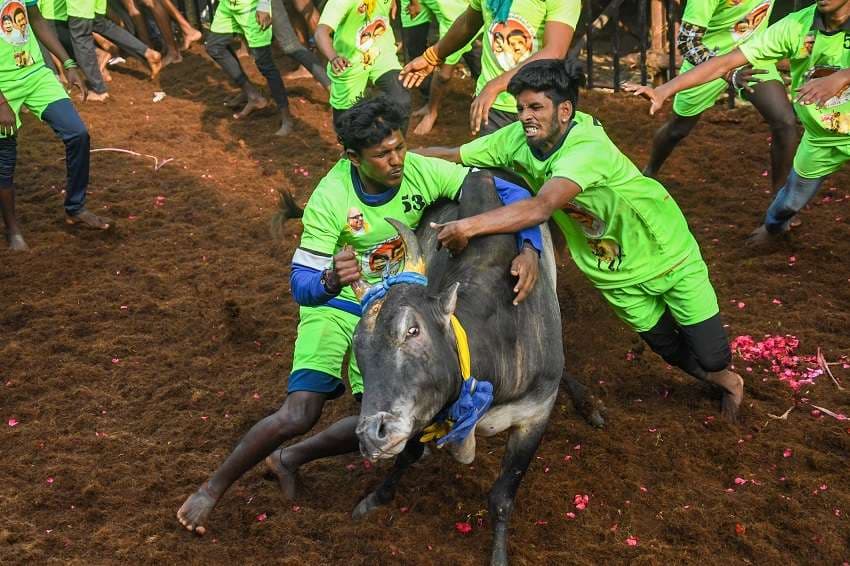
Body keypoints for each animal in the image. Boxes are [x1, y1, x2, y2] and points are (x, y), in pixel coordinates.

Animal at [348, 171, 592, 564]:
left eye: (412, 329)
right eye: (358, 348)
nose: (372, 434)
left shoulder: (535, 417)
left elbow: (502, 497)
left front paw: (499, 553)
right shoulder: (426, 411)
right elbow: (407, 455)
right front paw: (376, 497)